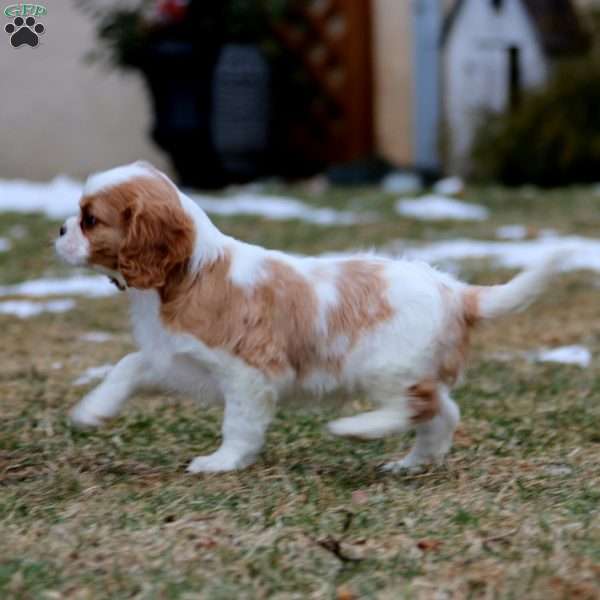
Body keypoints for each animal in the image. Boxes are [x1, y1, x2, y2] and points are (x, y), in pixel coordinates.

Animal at [55, 163, 564, 474]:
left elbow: (238, 423)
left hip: (383, 366)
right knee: (441, 410)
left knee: (416, 405)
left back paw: (357, 429)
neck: (189, 274)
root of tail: (454, 290)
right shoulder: (175, 358)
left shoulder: (247, 372)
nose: (58, 229)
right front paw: (94, 410)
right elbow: (129, 365)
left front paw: (223, 461)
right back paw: (413, 463)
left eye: (90, 219)